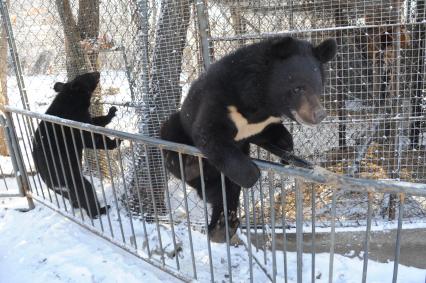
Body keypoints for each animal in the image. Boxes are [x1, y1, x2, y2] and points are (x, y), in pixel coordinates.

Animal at [31, 72, 120, 220]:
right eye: (88, 75)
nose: (98, 73)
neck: (72, 99)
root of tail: (53, 185)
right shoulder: (74, 122)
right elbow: (90, 138)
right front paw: (115, 141)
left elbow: (94, 122)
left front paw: (112, 111)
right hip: (70, 176)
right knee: (86, 191)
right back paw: (100, 210)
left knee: (74, 197)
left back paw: (78, 205)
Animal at [161, 36, 338, 243]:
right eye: (297, 88)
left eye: (319, 89)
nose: (320, 115)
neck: (261, 102)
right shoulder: (219, 98)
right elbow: (208, 132)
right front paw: (252, 175)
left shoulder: (262, 124)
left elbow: (277, 135)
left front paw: (287, 152)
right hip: (178, 126)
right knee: (173, 139)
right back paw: (189, 165)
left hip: (217, 178)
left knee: (222, 193)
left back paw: (222, 227)